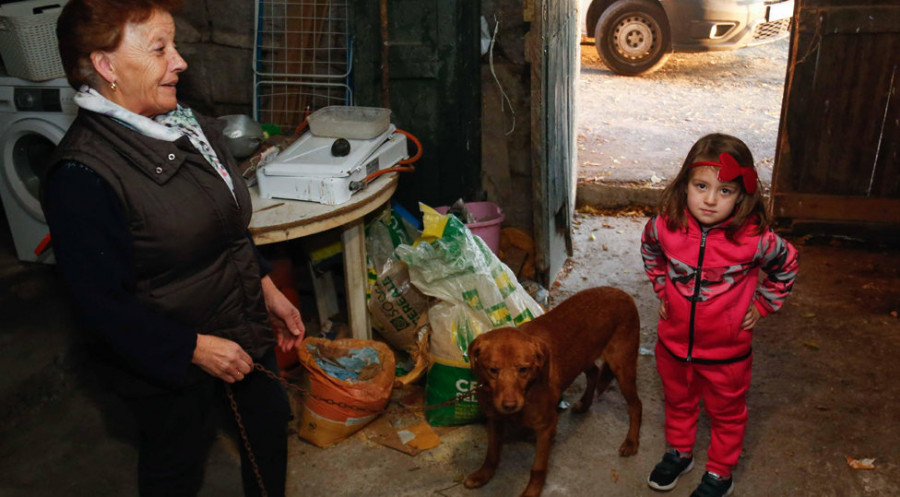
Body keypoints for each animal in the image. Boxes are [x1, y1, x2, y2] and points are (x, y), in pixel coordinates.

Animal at [464, 286, 640, 496]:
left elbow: (538, 468)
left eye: (523, 369)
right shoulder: (494, 419)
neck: (528, 390)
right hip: (582, 358)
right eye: (493, 370)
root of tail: (621, 292)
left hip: (623, 367)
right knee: (594, 373)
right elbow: (491, 454)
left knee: (636, 405)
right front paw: (483, 475)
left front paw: (532, 491)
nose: (509, 405)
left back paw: (631, 442)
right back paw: (585, 404)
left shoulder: (546, 428)